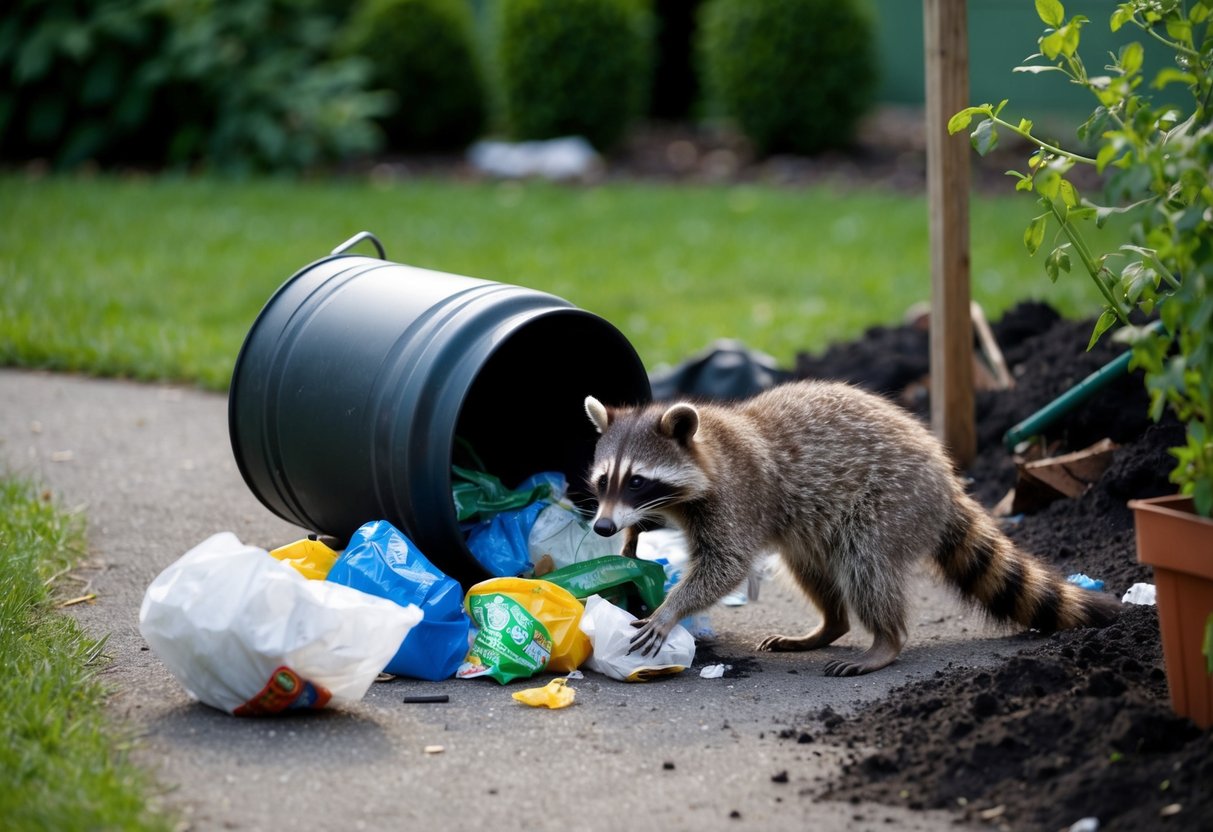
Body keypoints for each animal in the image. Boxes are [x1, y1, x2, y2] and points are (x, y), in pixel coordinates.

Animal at [584, 380, 1120, 676]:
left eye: (637, 480)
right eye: (604, 480)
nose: (604, 526)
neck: (705, 449)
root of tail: (948, 484)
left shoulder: (738, 496)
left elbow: (726, 565)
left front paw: (671, 608)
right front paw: (631, 538)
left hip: (893, 504)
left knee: (868, 566)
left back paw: (885, 639)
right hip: (817, 528)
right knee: (810, 568)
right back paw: (831, 624)